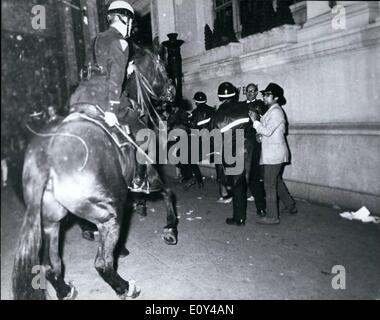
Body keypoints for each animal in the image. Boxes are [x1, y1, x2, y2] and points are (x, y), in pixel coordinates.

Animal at [11, 40, 178, 300]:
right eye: (161, 65)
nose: (173, 90)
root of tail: (45, 156)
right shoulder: (150, 175)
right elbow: (168, 192)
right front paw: (170, 229)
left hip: (52, 221)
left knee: (51, 265)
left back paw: (65, 289)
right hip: (109, 212)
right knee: (101, 263)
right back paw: (125, 286)